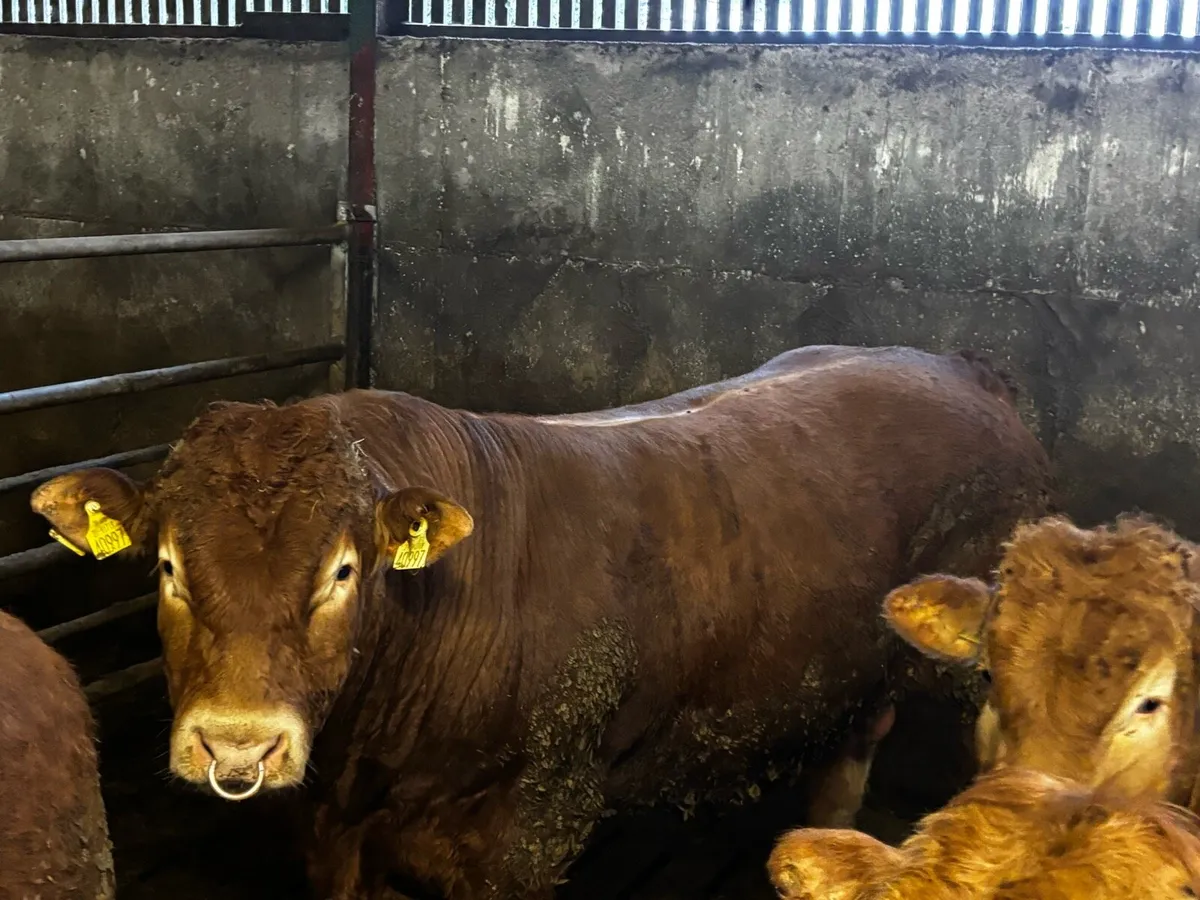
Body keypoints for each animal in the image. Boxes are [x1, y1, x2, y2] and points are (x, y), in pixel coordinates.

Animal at [29, 344, 1051, 900]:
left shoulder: (529, 837)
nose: (237, 745)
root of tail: (965, 368)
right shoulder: (333, 835)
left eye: (344, 571)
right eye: (166, 566)